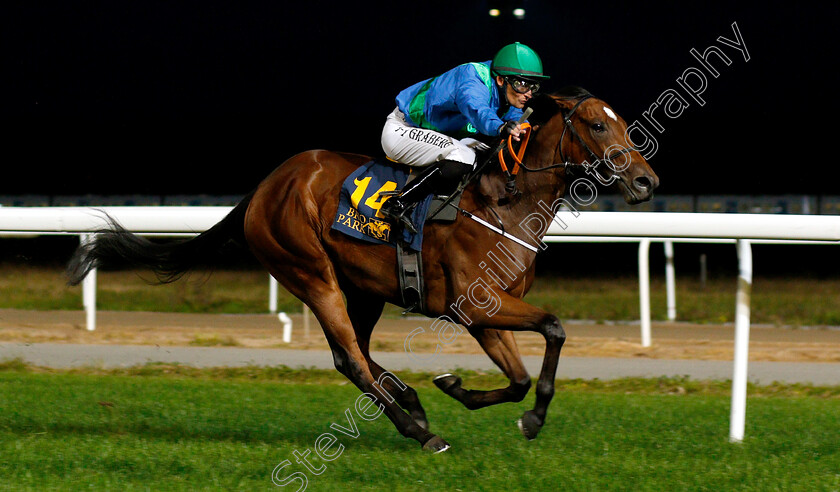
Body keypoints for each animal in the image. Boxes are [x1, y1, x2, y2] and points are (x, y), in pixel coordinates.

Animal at [67, 88, 656, 454]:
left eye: (626, 125)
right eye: (597, 124)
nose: (646, 182)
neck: (503, 201)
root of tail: (264, 188)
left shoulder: (484, 314)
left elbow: (517, 378)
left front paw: (459, 388)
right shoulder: (474, 304)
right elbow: (553, 328)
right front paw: (528, 418)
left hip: (366, 288)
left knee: (358, 352)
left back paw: (413, 402)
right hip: (310, 273)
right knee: (350, 359)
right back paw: (419, 432)